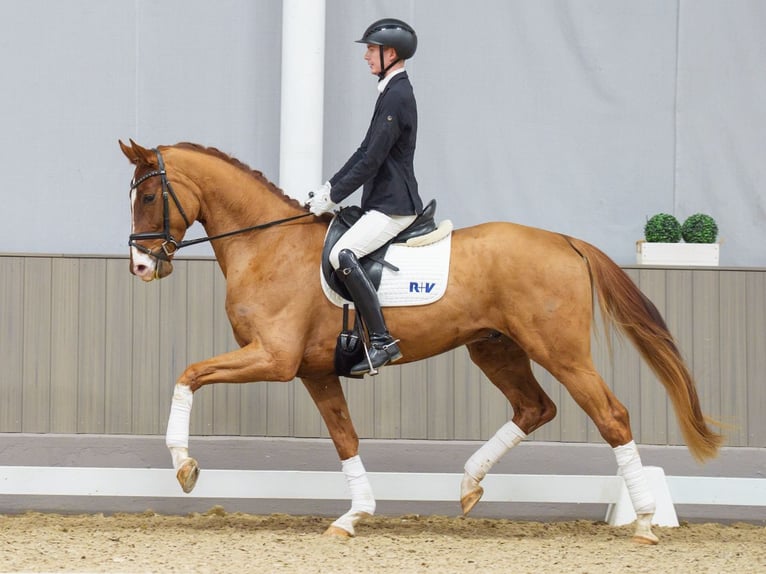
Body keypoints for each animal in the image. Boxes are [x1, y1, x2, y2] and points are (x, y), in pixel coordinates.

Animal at [121, 140, 728, 544]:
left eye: (149, 195)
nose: (141, 266)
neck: (268, 245)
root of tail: (565, 240)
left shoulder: (274, 359)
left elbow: (188, 374)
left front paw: (184, 466)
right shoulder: (314, 371)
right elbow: (345, 439)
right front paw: (354, 515)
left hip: (561, 351)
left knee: (612, 416)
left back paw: (645, 521)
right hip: (495, 347)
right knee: (535, 407)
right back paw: (468, 484)